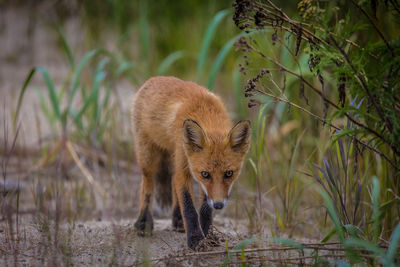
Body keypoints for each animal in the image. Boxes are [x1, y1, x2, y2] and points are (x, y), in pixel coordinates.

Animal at [130, 77, 250, 249]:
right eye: (205, 174)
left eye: (229, 173)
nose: (218, 205)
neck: (206, 114)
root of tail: (154, 79)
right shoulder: (186, 166)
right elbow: (189, 207)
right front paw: (195, 239)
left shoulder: (197, 176)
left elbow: (204, 208)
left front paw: (207, 235)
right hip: (148, 156)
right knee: (148, 183)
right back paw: (144, 221)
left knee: (172, 180)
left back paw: (178, 220)